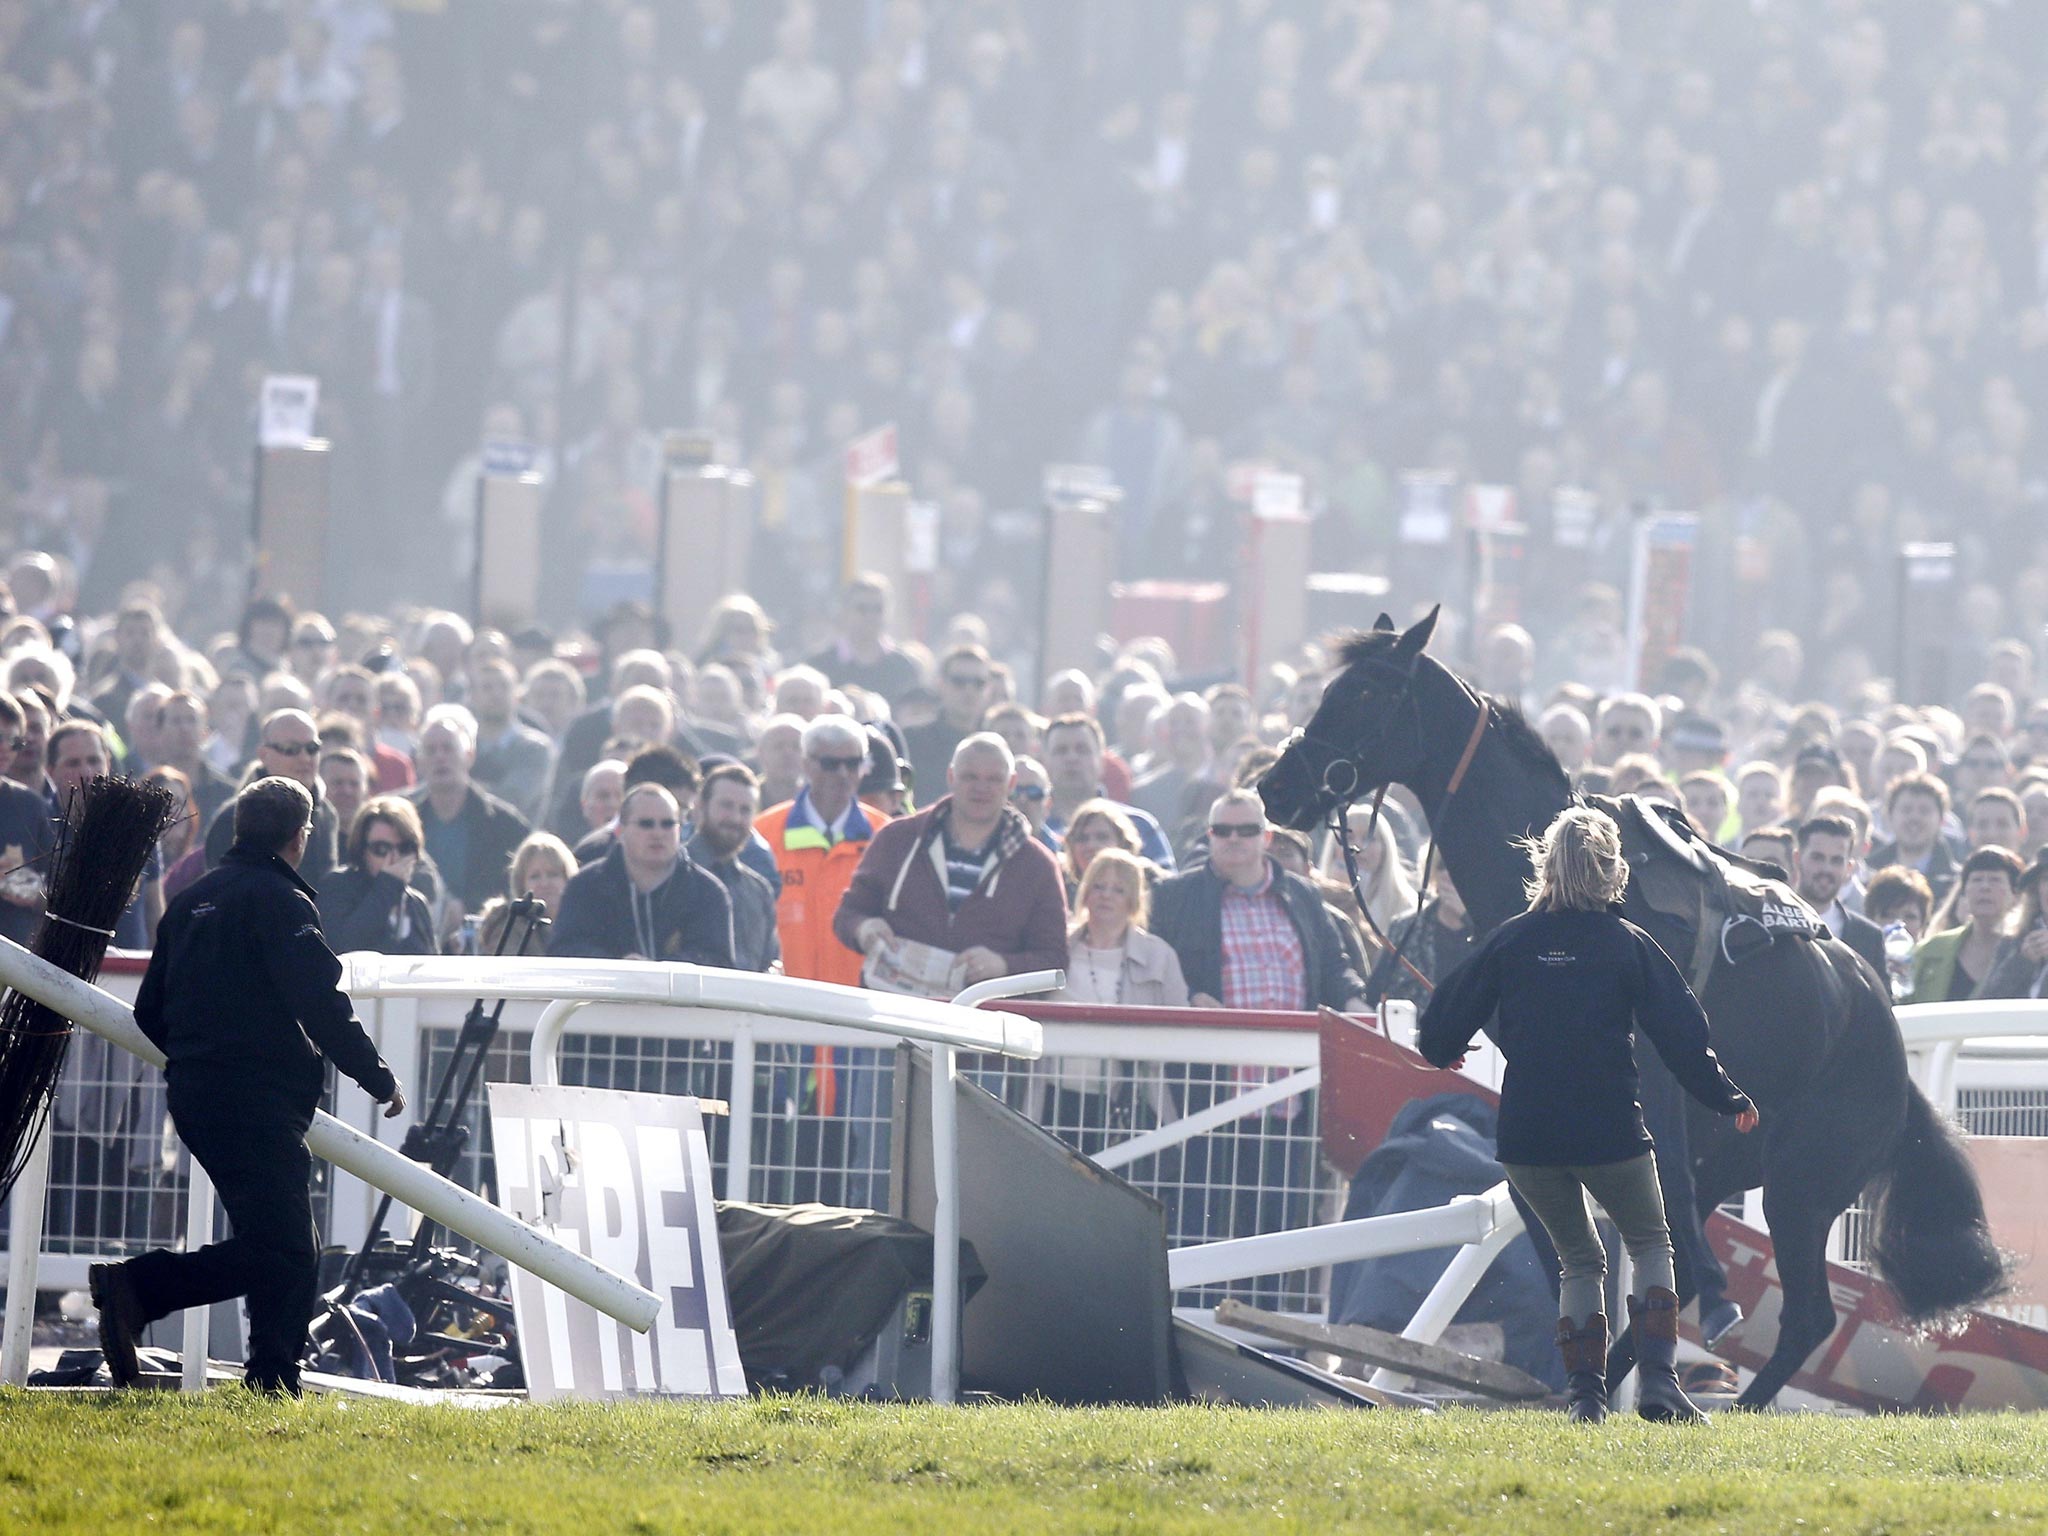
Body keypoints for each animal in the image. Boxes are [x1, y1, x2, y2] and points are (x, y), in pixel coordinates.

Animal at [1253, 606, 2007, 1417]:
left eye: (1366, 692)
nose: (1273, 787)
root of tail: (1894, 1066)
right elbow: (1559, 1228)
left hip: (1801, 1181)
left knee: (1801, 1313)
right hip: (1746, 1169)